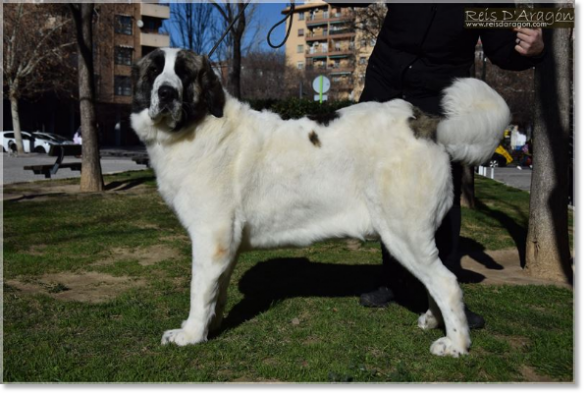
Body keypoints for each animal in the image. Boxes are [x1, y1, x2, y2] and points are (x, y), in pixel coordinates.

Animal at [130, 48, 508, 358]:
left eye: (183, 74)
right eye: (154, 72)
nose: (166, 93)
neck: (200, 124)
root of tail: (425, 122)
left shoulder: (211, 238)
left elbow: (199, 290)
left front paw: (190, 334)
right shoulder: (227, 244)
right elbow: (216, 290)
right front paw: (212, 325)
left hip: (405, 234)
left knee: (447, 283)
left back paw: (456, 344)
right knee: (436, 280)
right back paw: (432, 319)